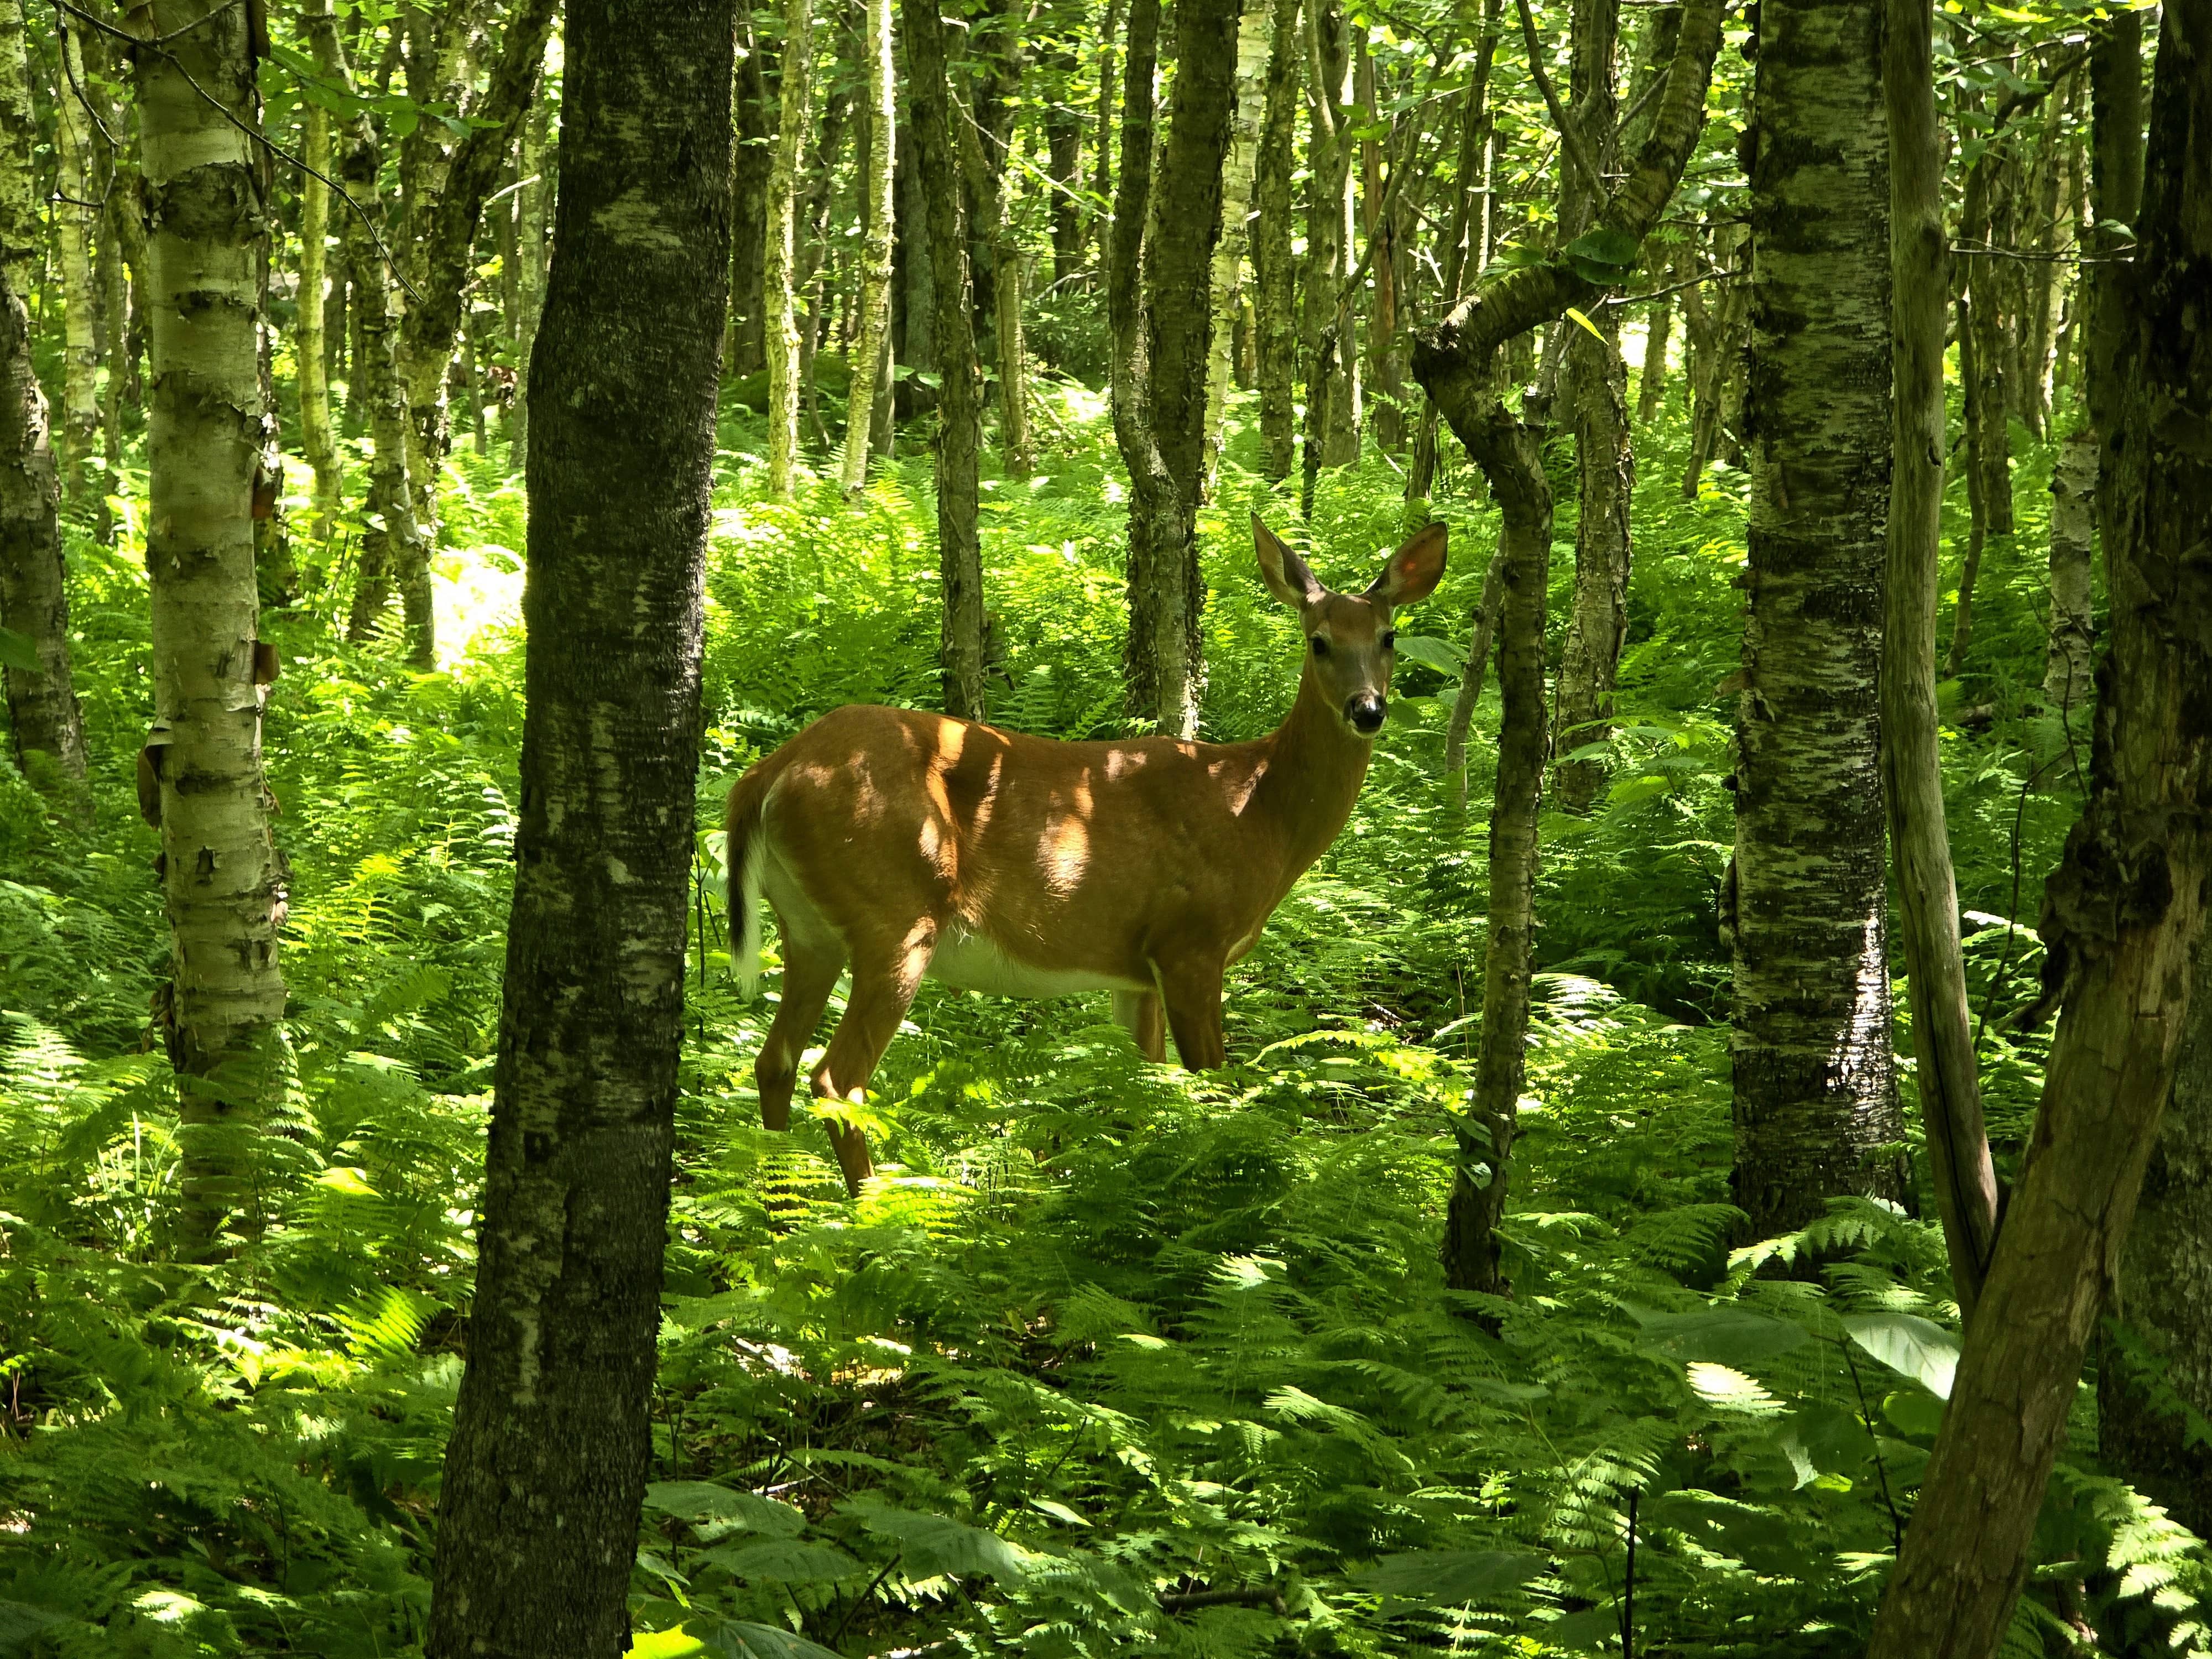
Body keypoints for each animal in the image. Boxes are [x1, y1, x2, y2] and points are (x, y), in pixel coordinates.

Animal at [730, 520, 1451, 1194]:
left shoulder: (1136, 968)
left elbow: (1148, 1089)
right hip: (896, 912)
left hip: (809, 928)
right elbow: (1208, 1088)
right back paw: (867, 1209)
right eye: (1318, 641)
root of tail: (770, 774)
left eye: (1388, 637)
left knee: (775, 1062)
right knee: (836, 1077)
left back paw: (782, 1208)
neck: (1256, 810)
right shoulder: (1191, 942)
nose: (1367, 710)